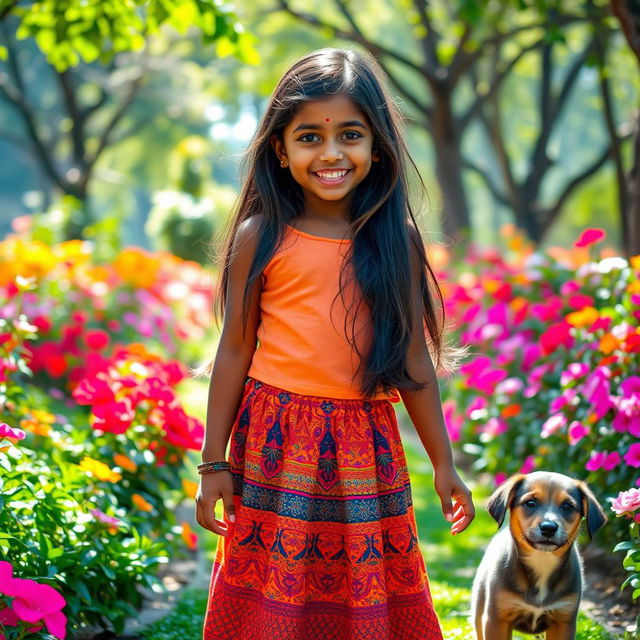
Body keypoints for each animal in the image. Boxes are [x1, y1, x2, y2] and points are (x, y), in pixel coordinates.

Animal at [470, 470, 604, 640]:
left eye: (567, 506)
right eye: (531, 503)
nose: (549, 528)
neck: (542, 560)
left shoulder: (563, 620)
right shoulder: (497, 620)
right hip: (479, 612)